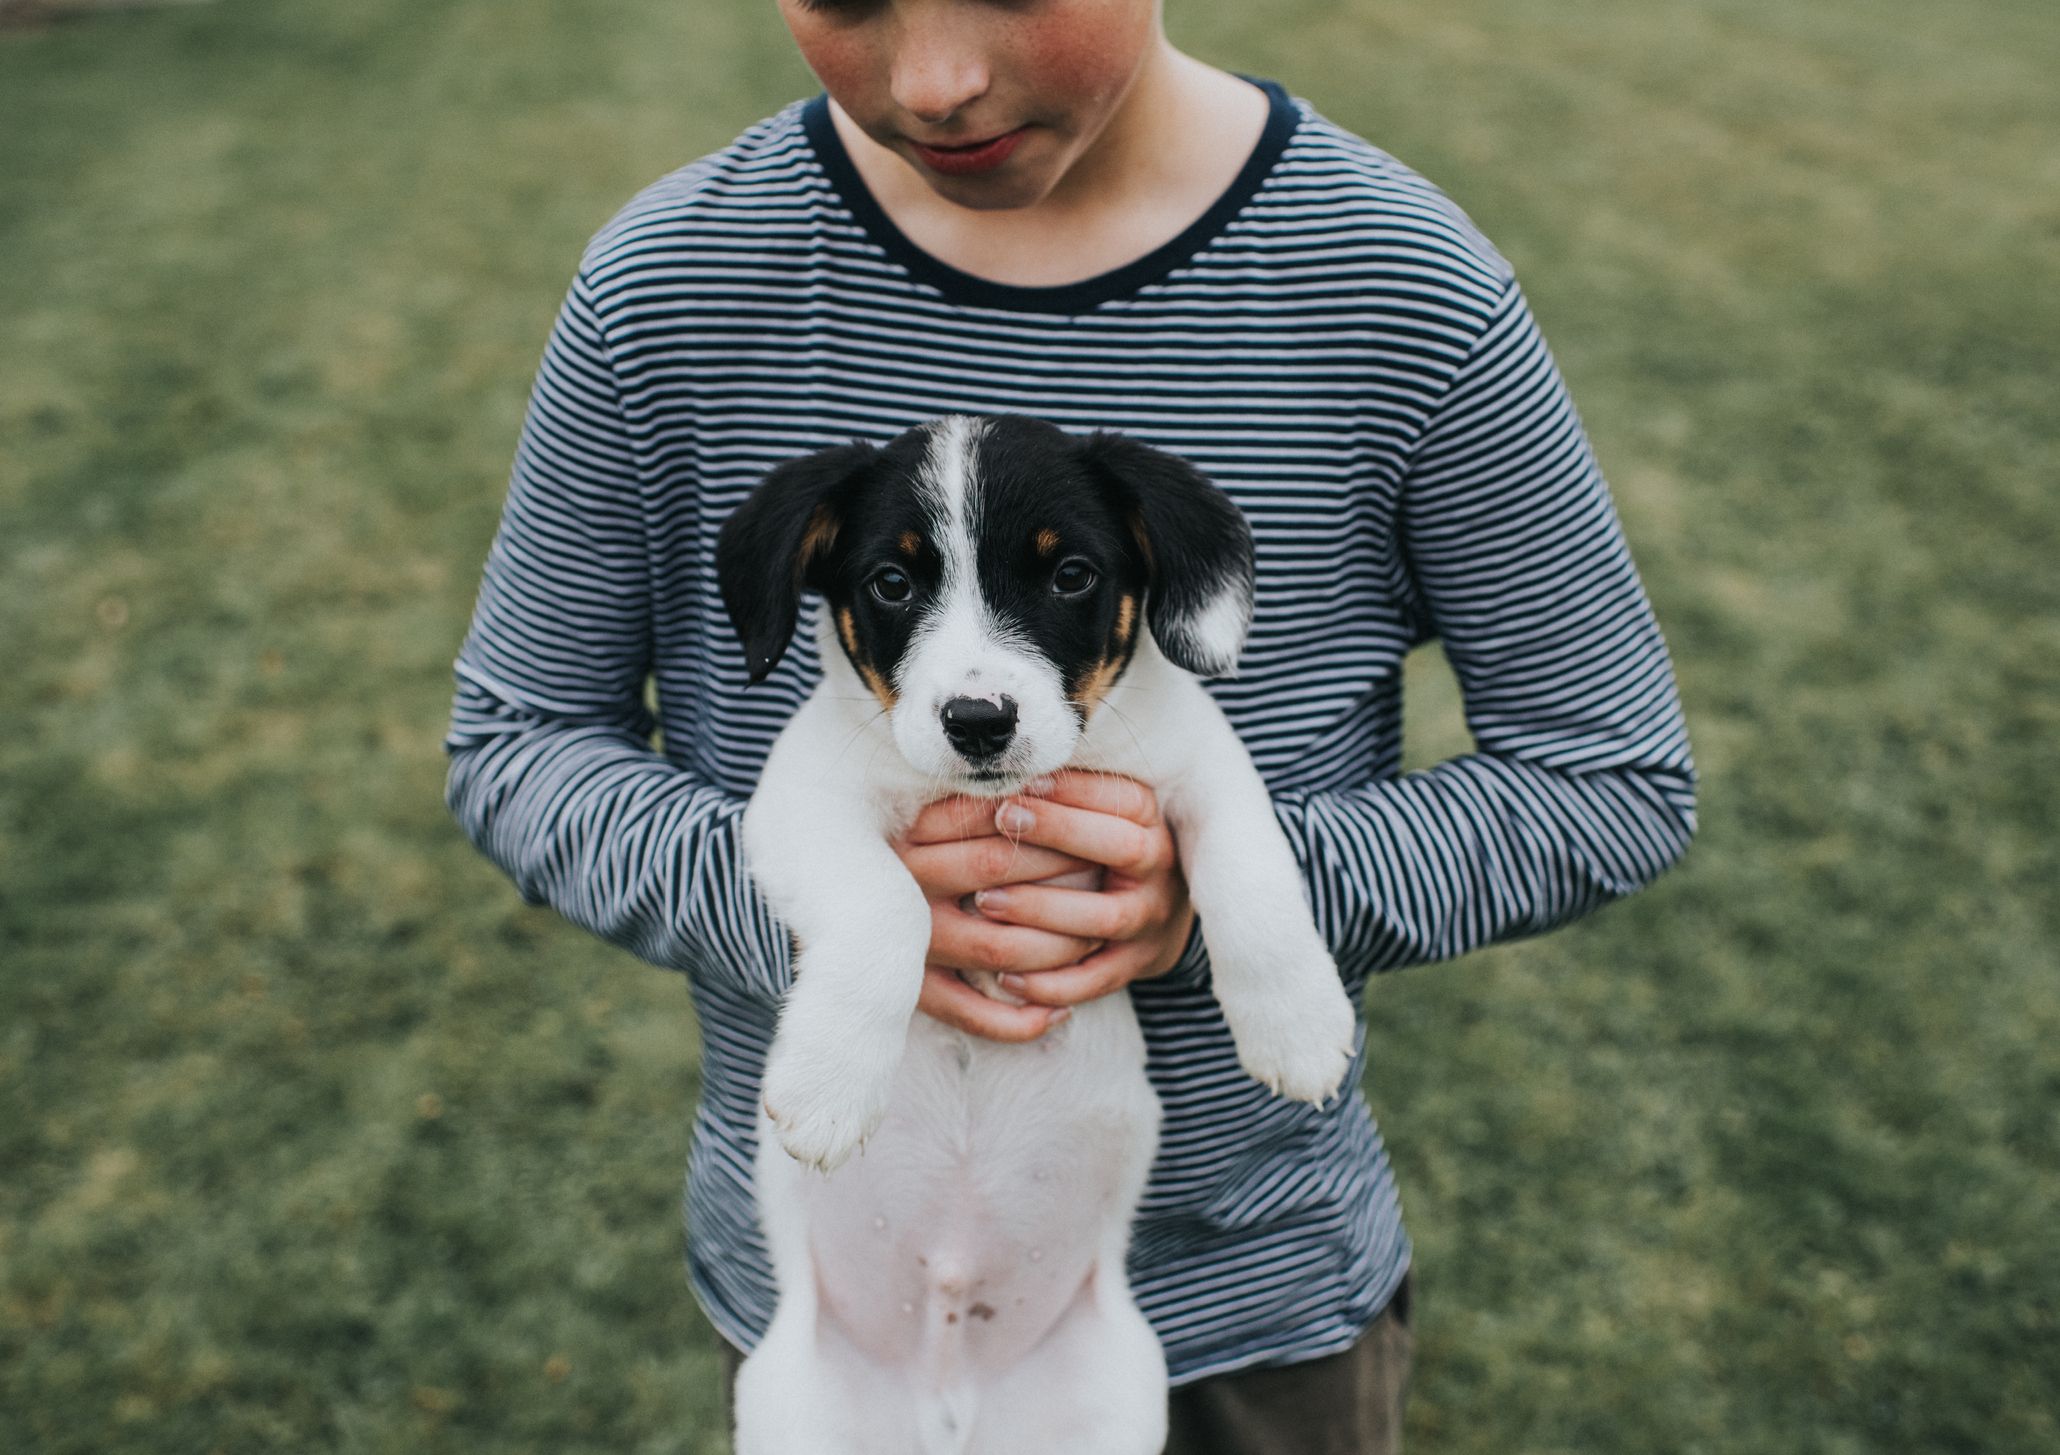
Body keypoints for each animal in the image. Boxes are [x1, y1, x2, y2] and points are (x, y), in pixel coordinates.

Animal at [716, 414, 1359, 1442]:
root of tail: (949, 1405)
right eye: (891, 583)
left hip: (1118, 1389)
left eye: (1071, 576)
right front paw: (829, 1083)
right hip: (791, 1407)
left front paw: (1296, 1026)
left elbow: (1256, 875)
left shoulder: (1201, 763)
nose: (978, 719)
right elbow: (889, 905)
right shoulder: (801, 798)